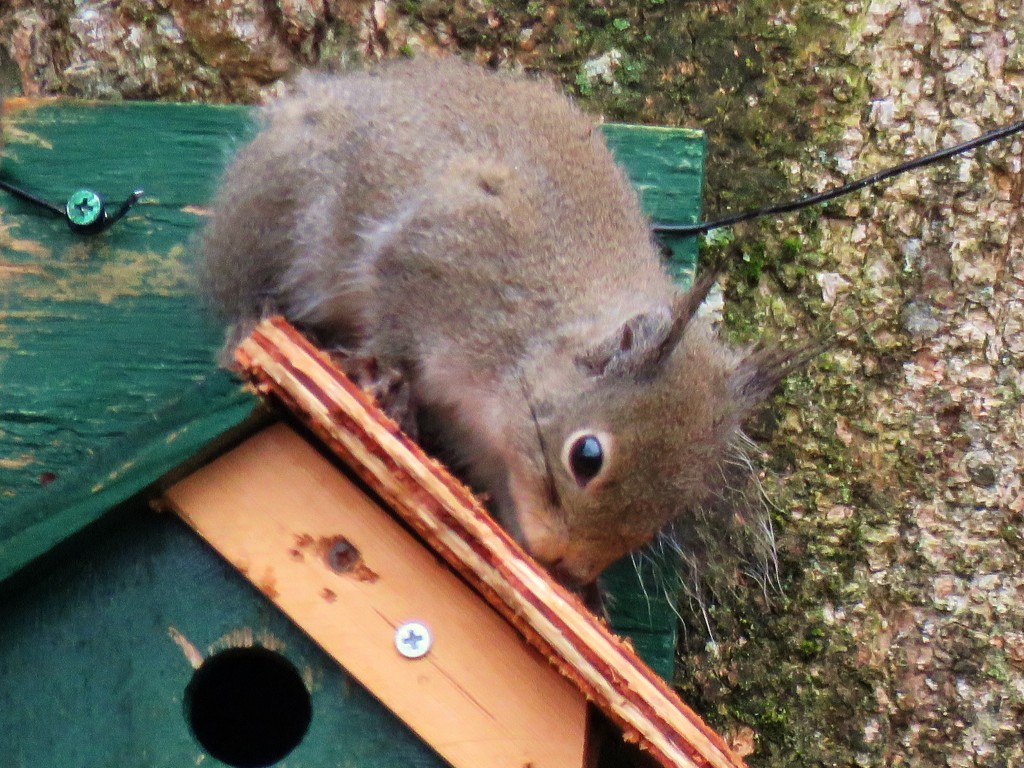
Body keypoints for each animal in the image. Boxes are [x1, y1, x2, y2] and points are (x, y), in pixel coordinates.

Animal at [199, 57, 798, 593]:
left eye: (679, 501)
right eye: (586, 456)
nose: (567, 566)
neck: (530, 352)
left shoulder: (479, 437)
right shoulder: (444, 251)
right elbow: (394, 316)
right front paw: (386, 377)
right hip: (285, 205)